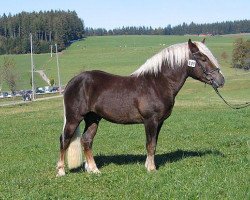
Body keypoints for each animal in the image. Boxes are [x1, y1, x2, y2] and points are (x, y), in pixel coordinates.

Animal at [56, 38, 225, 176]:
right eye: (203, 58)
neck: (158, 83)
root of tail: (73, 81)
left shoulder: (159, 122)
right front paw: (151, 169)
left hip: (93, 118)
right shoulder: (151, 120)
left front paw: (148, 165)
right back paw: (61, 171)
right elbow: (150, 144)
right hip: (73, 118)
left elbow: (154, 144)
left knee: (86, 140)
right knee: (64, 139)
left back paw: (94, 170)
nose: (221, 80)